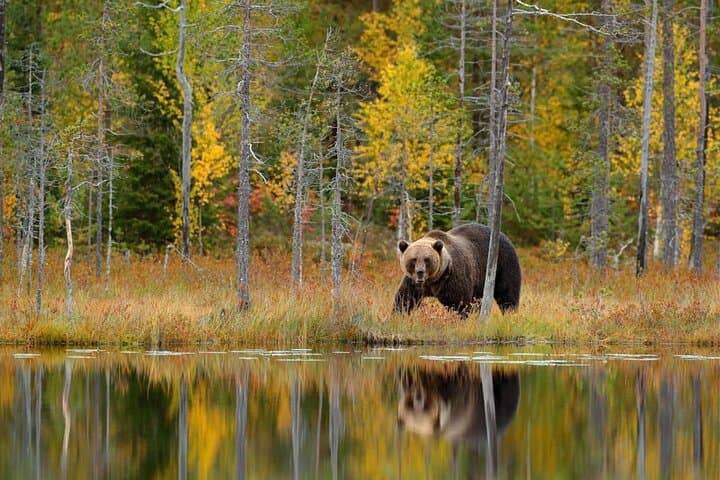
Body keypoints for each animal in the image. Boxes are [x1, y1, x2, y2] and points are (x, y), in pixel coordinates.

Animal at [393, 223, 521, 316]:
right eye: (413, 259)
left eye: (427, 259)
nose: (420, 272)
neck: (432, 279)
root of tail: (503, 235)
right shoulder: (413, 282)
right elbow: (405, 298)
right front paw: (398, 315)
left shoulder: (451, 277)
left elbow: (459, 302)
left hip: (504, 262)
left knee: (507, 291)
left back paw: (510, 312)